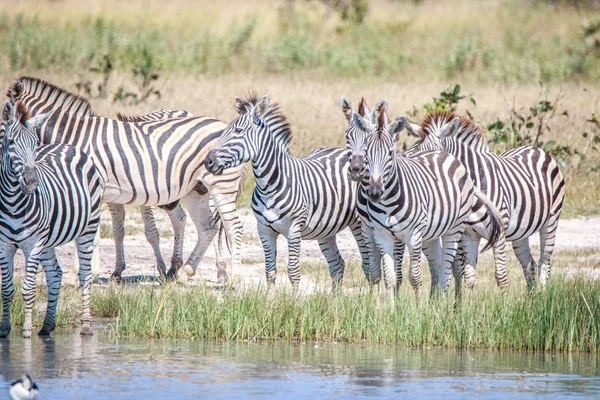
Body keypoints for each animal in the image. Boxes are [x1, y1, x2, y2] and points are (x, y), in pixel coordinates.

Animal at [0, 99, 101, 338]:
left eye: (35, 143)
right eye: (11, 142)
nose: (31, 182)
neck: (13, 202)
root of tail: (69, 145)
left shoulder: (33, 244)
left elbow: (28, 289)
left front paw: (26, 332)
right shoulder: (4, 244)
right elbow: (6, 289)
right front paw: (5, 329)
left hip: (88, 229)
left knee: (85, 275)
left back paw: (85, 324)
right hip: (48, 241)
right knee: (55, 274)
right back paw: (47, 326)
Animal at [7, 76, 246, 284]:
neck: (74, 135)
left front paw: (83, 274)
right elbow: (113, 231)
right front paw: (105, 271)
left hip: (220, 185)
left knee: (232, 226)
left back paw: (229, 277)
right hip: (195, 190)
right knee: (207, 227)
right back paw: (184, 272)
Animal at [207, 94, 376, 290]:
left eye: (238, 131)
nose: (207, 161)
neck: (268, 186)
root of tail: (341, 151)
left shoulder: (294, 229)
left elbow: (293, 272)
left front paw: (294, 299)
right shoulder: (264, 229)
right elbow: (270, 272)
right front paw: (270, 298)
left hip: (358, 223)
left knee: (368, 264)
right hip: (326, 229)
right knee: (337, 264)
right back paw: (336, 298)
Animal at [342, 97, 506, 296]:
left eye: (391, 152)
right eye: (348, 137)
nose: (357, 170)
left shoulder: (409, 235)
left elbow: (409, 275)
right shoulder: (370, 230)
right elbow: (378, 273)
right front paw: (378, 302)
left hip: (458, 229)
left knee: (453, 268)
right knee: (440, 266)